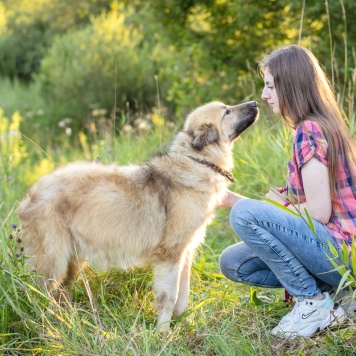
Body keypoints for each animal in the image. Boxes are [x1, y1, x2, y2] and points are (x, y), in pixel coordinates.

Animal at [18, 99, 258, 330]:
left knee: (60, 292)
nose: (255, 103)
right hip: (53, 261)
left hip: (73, 259)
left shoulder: (185, 252)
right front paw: (163, 332)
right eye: (226, 111)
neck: (197, 161)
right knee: (39, 294)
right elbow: (169, 296)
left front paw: (184, 323)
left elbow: (183, 295)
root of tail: (30, 194)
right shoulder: (169, 255)